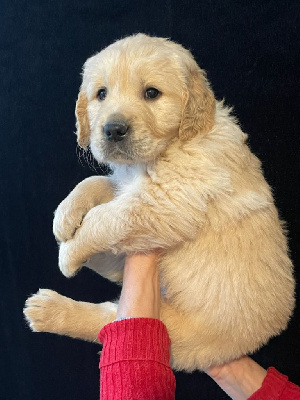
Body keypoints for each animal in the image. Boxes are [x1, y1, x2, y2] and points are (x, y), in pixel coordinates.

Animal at [24, 34, 296, 372]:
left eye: (151, 93)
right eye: (101, 94)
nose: (112, 129)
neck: (169, 146)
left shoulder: (162, 203)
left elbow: (104, 219)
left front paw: (68, 251)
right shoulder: (129, 189)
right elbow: (96, 182)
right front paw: (65, 215)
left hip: (172, 329)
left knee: (104, 320)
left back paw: (49, 305)